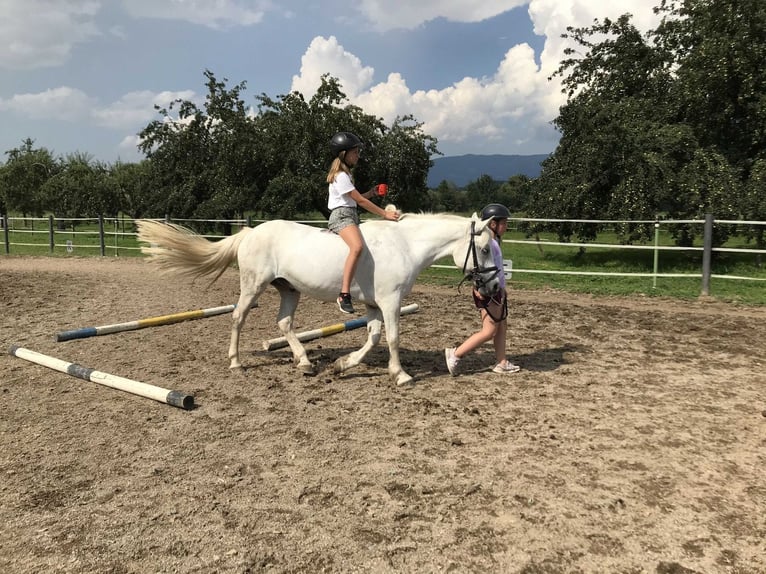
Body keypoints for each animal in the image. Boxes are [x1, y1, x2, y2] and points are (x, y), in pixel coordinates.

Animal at [136, 212, 502, 386]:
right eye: (485, 249)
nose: (494, 288)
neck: (404, 246)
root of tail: (250, 232)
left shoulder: (373, 305)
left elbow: (373, 337)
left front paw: (343, 365)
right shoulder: (389, 301)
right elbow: (393, 338)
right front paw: (400, 375)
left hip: (288, 289)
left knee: (284, 322)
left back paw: (305, 362)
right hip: (253, 286)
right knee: (238, 317)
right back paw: (236, 362)